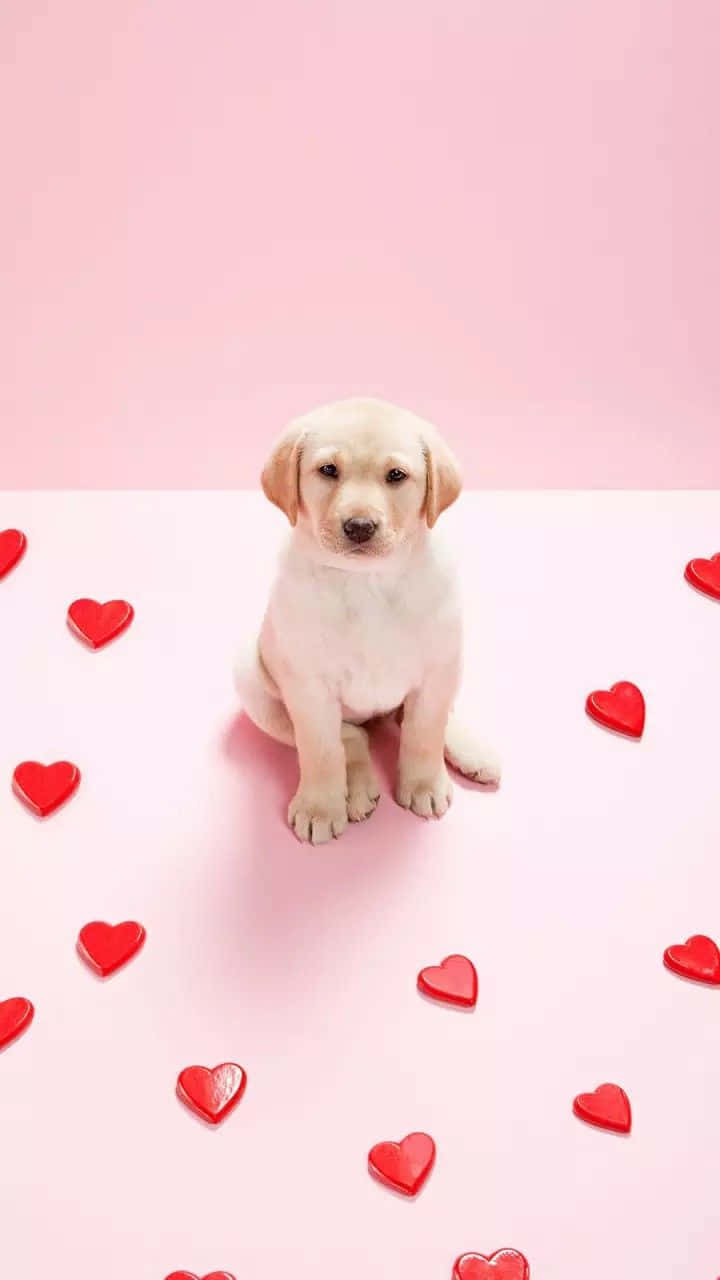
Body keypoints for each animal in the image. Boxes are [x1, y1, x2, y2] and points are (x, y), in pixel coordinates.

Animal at [235, 394, 499, 844]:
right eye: (328, 470)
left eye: (396, 476)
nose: (359, 526)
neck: (367, 582)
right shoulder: (308, 687)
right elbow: (321, 751)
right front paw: (321, 806)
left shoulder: (437, 668)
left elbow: (424, 733)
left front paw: (424, 784)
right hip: (254, 683)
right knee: (352, 737)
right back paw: (356, 788)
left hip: (453, 662)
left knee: (426, 719)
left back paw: (471, 749)